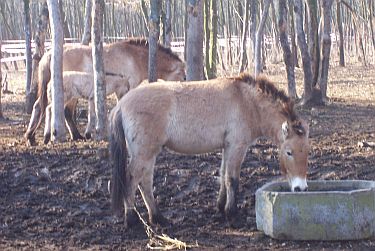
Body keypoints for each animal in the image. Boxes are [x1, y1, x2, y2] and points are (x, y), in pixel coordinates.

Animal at [25, 38, 187, 146]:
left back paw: (33, 136)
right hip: (68, 94)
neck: (135, 57)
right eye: (182, 76)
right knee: (62, 110)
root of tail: (49, 54)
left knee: (40, 106)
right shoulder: (126, 89)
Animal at [107, 73, 310, 228]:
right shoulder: (237, 146)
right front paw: (232, 214)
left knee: (145, 182)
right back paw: (131, 220)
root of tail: (121, 104)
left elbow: (223, 175)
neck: (247, 101)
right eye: (289, 152)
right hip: (144, 153)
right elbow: (232, 179)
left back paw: (158, 218)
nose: (300, 188)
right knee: (132, 179)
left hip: (149, 153)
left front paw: (221, 207)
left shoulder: (227, 147)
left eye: (307, 151)